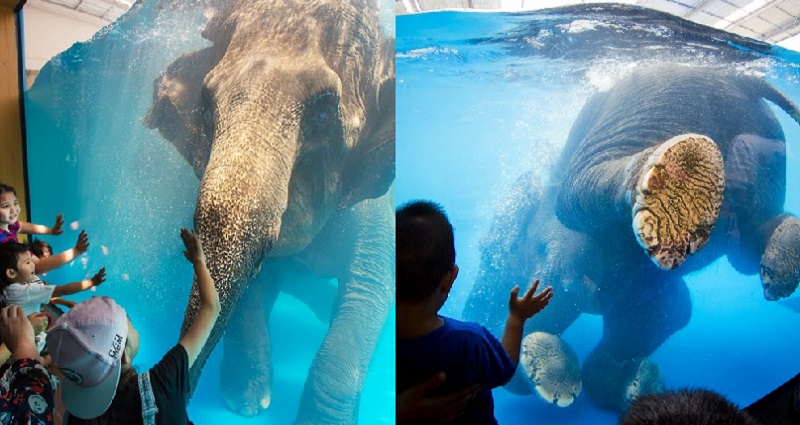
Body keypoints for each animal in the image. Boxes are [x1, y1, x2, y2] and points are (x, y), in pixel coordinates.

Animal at [142, 0, 395, 423]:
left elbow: (370, 292)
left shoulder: (376, 215)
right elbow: (254, 291)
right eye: (206, 107)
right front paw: (247, 402)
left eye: (323, 115)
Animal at [464, 64, 800, 412]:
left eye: (487, 250)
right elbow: (663, 313)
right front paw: (637, 383)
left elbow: (573, 281)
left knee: (583, 188)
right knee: (752, 243)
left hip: (632, 121)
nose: (468, 310)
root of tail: (739, 79)